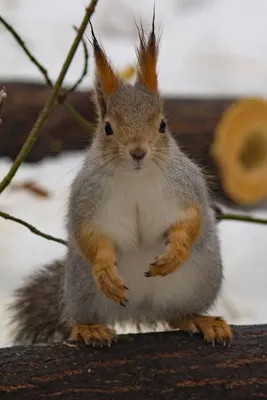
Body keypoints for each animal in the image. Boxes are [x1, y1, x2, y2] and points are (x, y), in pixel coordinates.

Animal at [8, 15, 232, 346]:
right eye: (108, 128)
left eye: (162, 125)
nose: (138, 152)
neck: (135, 178)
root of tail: (140, 311)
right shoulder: (88, 199)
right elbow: (90, 235)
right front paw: (105, 270)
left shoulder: (186, 188)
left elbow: (191, 220)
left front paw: (175, 252)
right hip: (82, 290)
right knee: (77, 317)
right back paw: (88, 328)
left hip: (198, 280)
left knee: (177, 315)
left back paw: (200, 320)